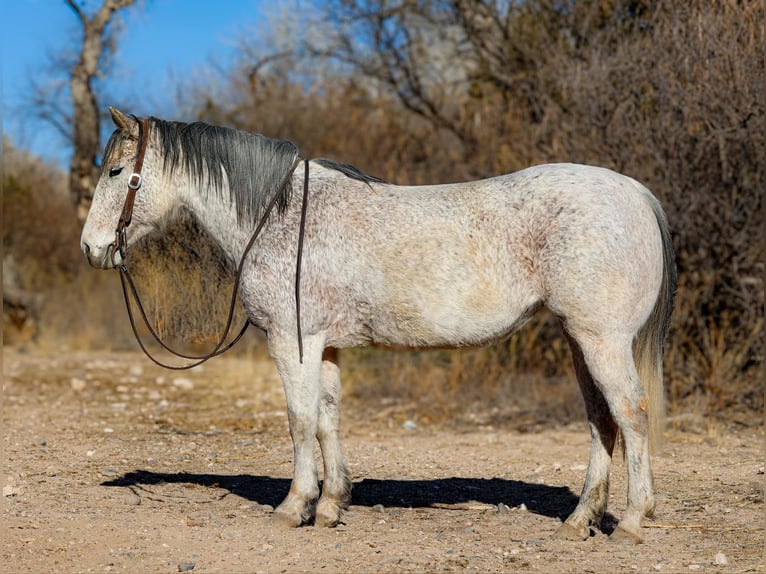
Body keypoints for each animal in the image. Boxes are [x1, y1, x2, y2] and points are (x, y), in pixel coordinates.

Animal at [81, 107, 676, 544]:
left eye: (115, 172)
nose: (92, 249)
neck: (280, 216)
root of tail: (634, 192)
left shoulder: (292, 341)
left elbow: (299, 420)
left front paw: (294, 506)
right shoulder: (323, 346)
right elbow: (327, 420)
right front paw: (331, 504)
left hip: (603, 341)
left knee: (631, 415)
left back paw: (631, 520)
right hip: (580, 340)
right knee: (601, 422)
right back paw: (581, 520)